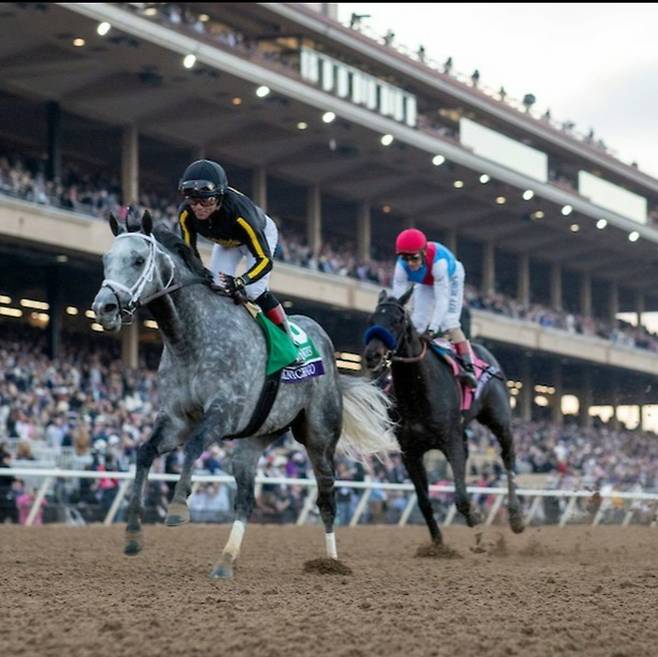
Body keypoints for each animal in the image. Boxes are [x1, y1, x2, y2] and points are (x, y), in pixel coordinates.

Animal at [91, 213, 394, 576]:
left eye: (138, 260)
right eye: (106, 260)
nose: (103, 308)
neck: (189, 339)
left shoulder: (224, 412)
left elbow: (194, 445)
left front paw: (178, 507)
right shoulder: (176, 419)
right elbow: (145, 452)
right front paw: (133, 533)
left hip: (320, 438)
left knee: (326, 497)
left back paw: (331, 563)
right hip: (254, 439)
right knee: (247, 499)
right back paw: (225, 560)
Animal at [358, 288, 524, 544]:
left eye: (397, 321)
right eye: (370, 320)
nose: (372, 355)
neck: (417, 391)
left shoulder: (450, 440)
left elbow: (461, 498)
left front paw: (475, 517)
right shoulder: (410, 451)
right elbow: (424, 501)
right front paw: (438, 543)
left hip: (499, 419)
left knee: (508, 457)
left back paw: (516, 516)